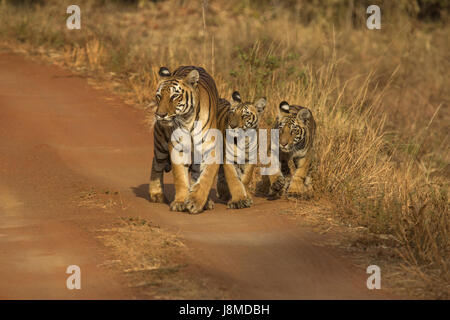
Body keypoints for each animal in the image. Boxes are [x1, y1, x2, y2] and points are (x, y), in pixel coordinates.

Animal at [149, 66, 220, 214]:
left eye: (174, 96)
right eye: (159, 96)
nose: (160, 115)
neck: (188, 121)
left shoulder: (211, 149)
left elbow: (206, 178)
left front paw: (195, 202)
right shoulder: (177, 147)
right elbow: (180, 178)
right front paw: (180, 202)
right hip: (160, 144)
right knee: (156, 163)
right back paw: (156, 194)